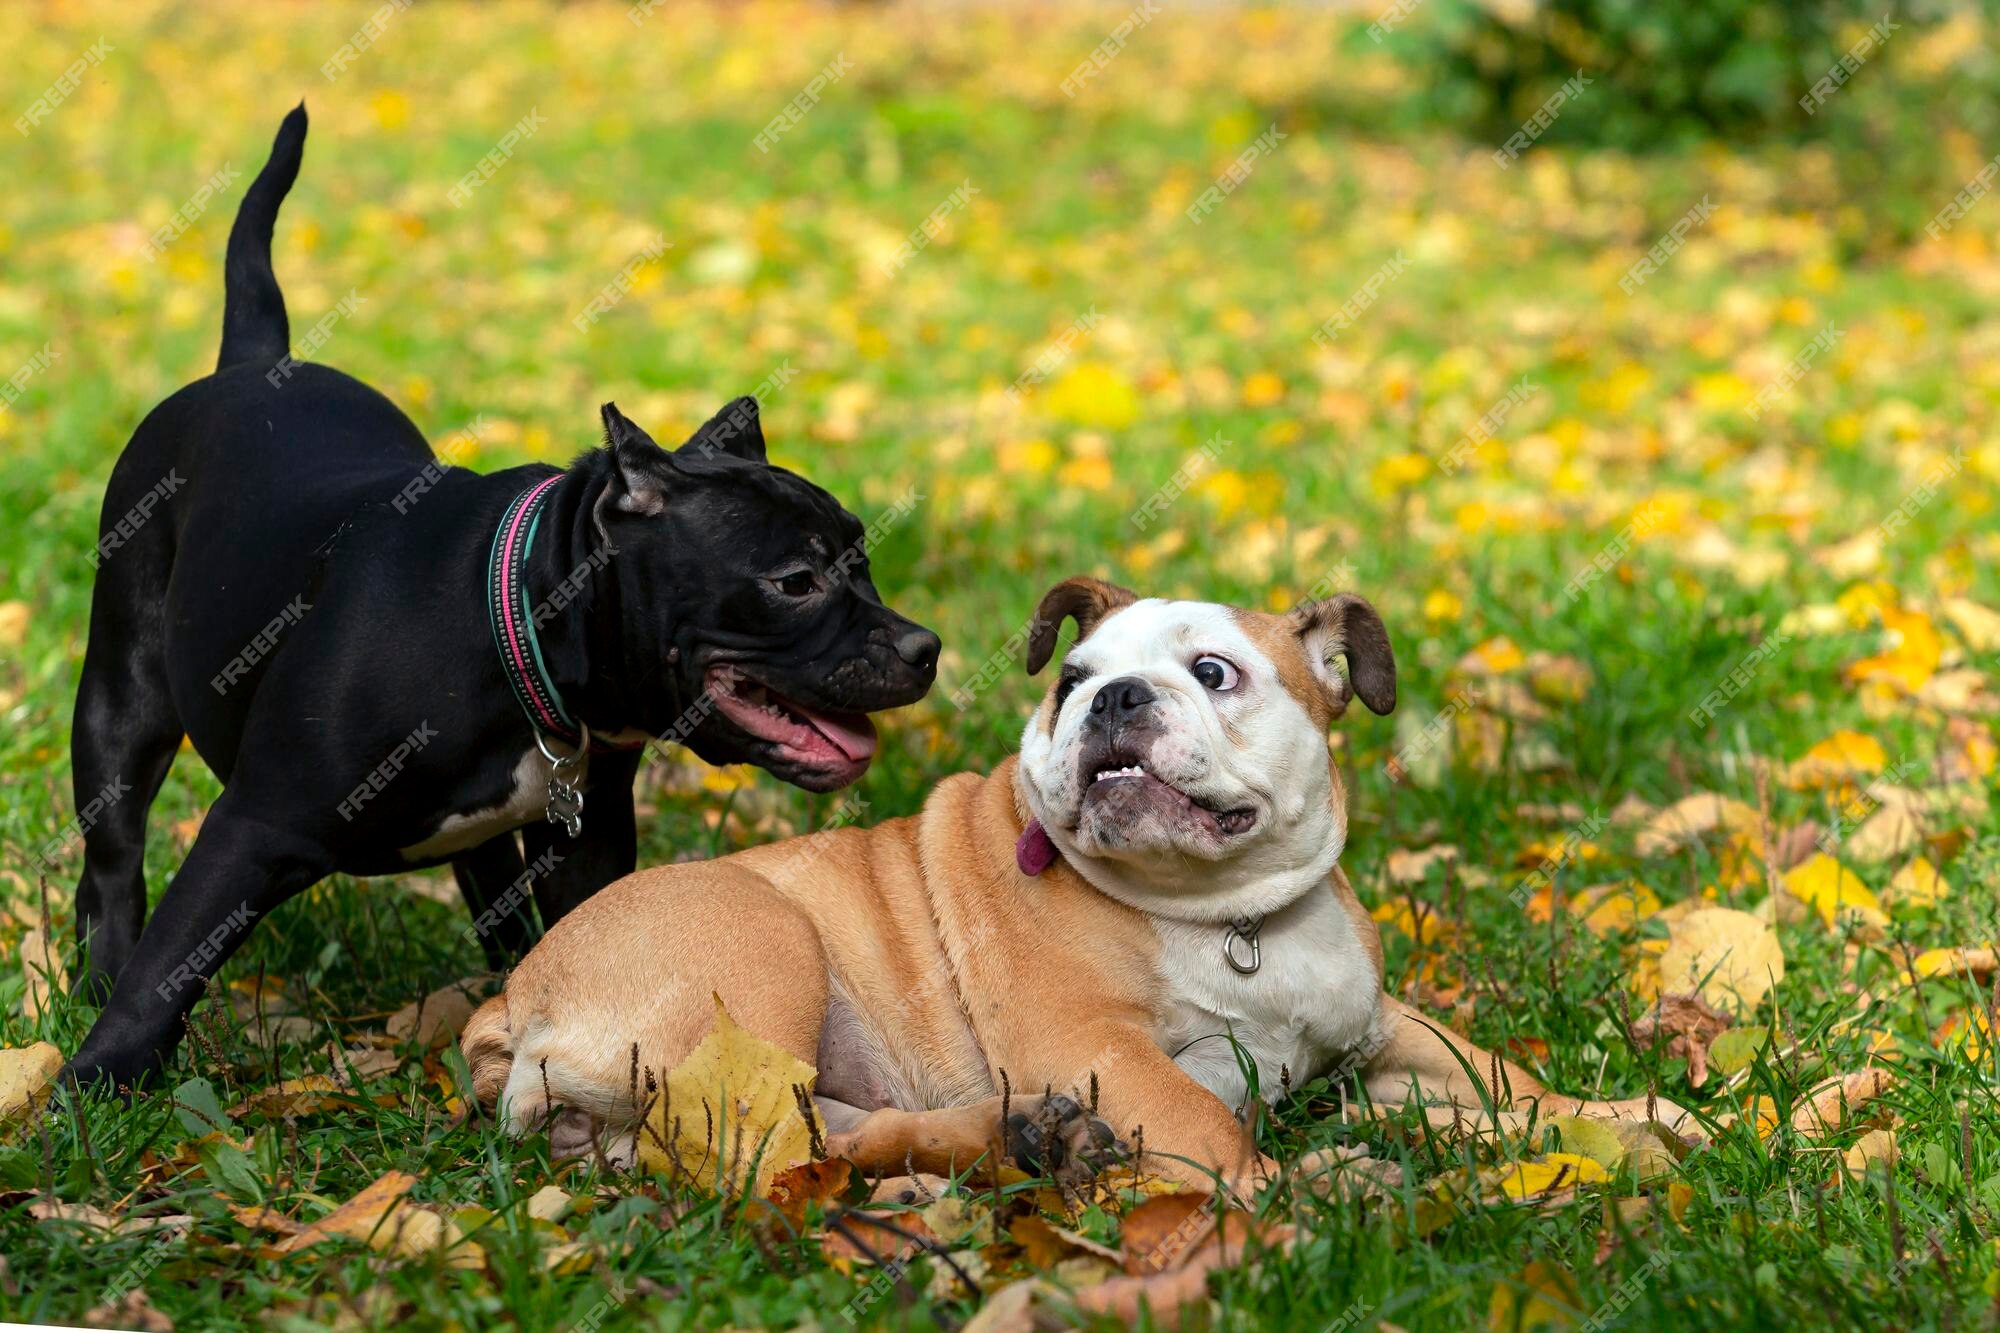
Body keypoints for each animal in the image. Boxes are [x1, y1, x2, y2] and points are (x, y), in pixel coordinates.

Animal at [62, 104, 936, 1080]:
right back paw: (94, 984)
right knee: (114, 859)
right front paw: (91, 1083)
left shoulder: (588, 837)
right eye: (795, 581)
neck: (520, 619)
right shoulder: (252, 823)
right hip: (121, 700)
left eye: (864, 558)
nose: (924, 647)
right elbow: (170, 965)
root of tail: (257, 356)